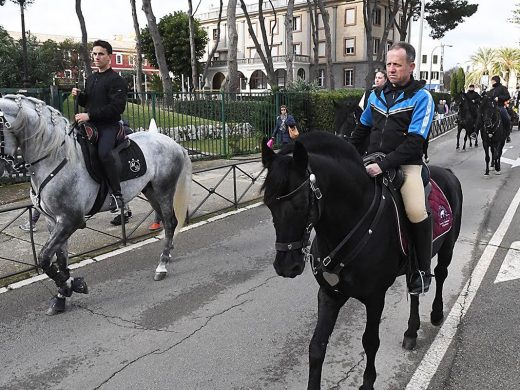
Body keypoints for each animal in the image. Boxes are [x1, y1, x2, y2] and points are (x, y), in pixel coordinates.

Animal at [0, 96, 191, 316]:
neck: (54, 157)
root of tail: (173, 143)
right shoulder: (53, 221)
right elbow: (60, 259)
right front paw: (62, 295)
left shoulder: (70, 220)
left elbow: (45, 258)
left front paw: (73, 285)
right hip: (150, 191)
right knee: (166, 222)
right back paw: (167, 253)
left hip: (164, 190)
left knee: (170, 222)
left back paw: (162, 266)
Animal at [260, 132, 464, 390]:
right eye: (269, 203)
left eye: (301, 203)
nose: (286, 266)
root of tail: (447, 172)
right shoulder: (329, 294)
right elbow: (317, 346)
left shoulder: (375, 298)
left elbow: (370, 341)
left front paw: (367, 383)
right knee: (415, 289)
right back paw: (411, 331)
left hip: (448, 246)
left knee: (441, 273)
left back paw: (436, 314)